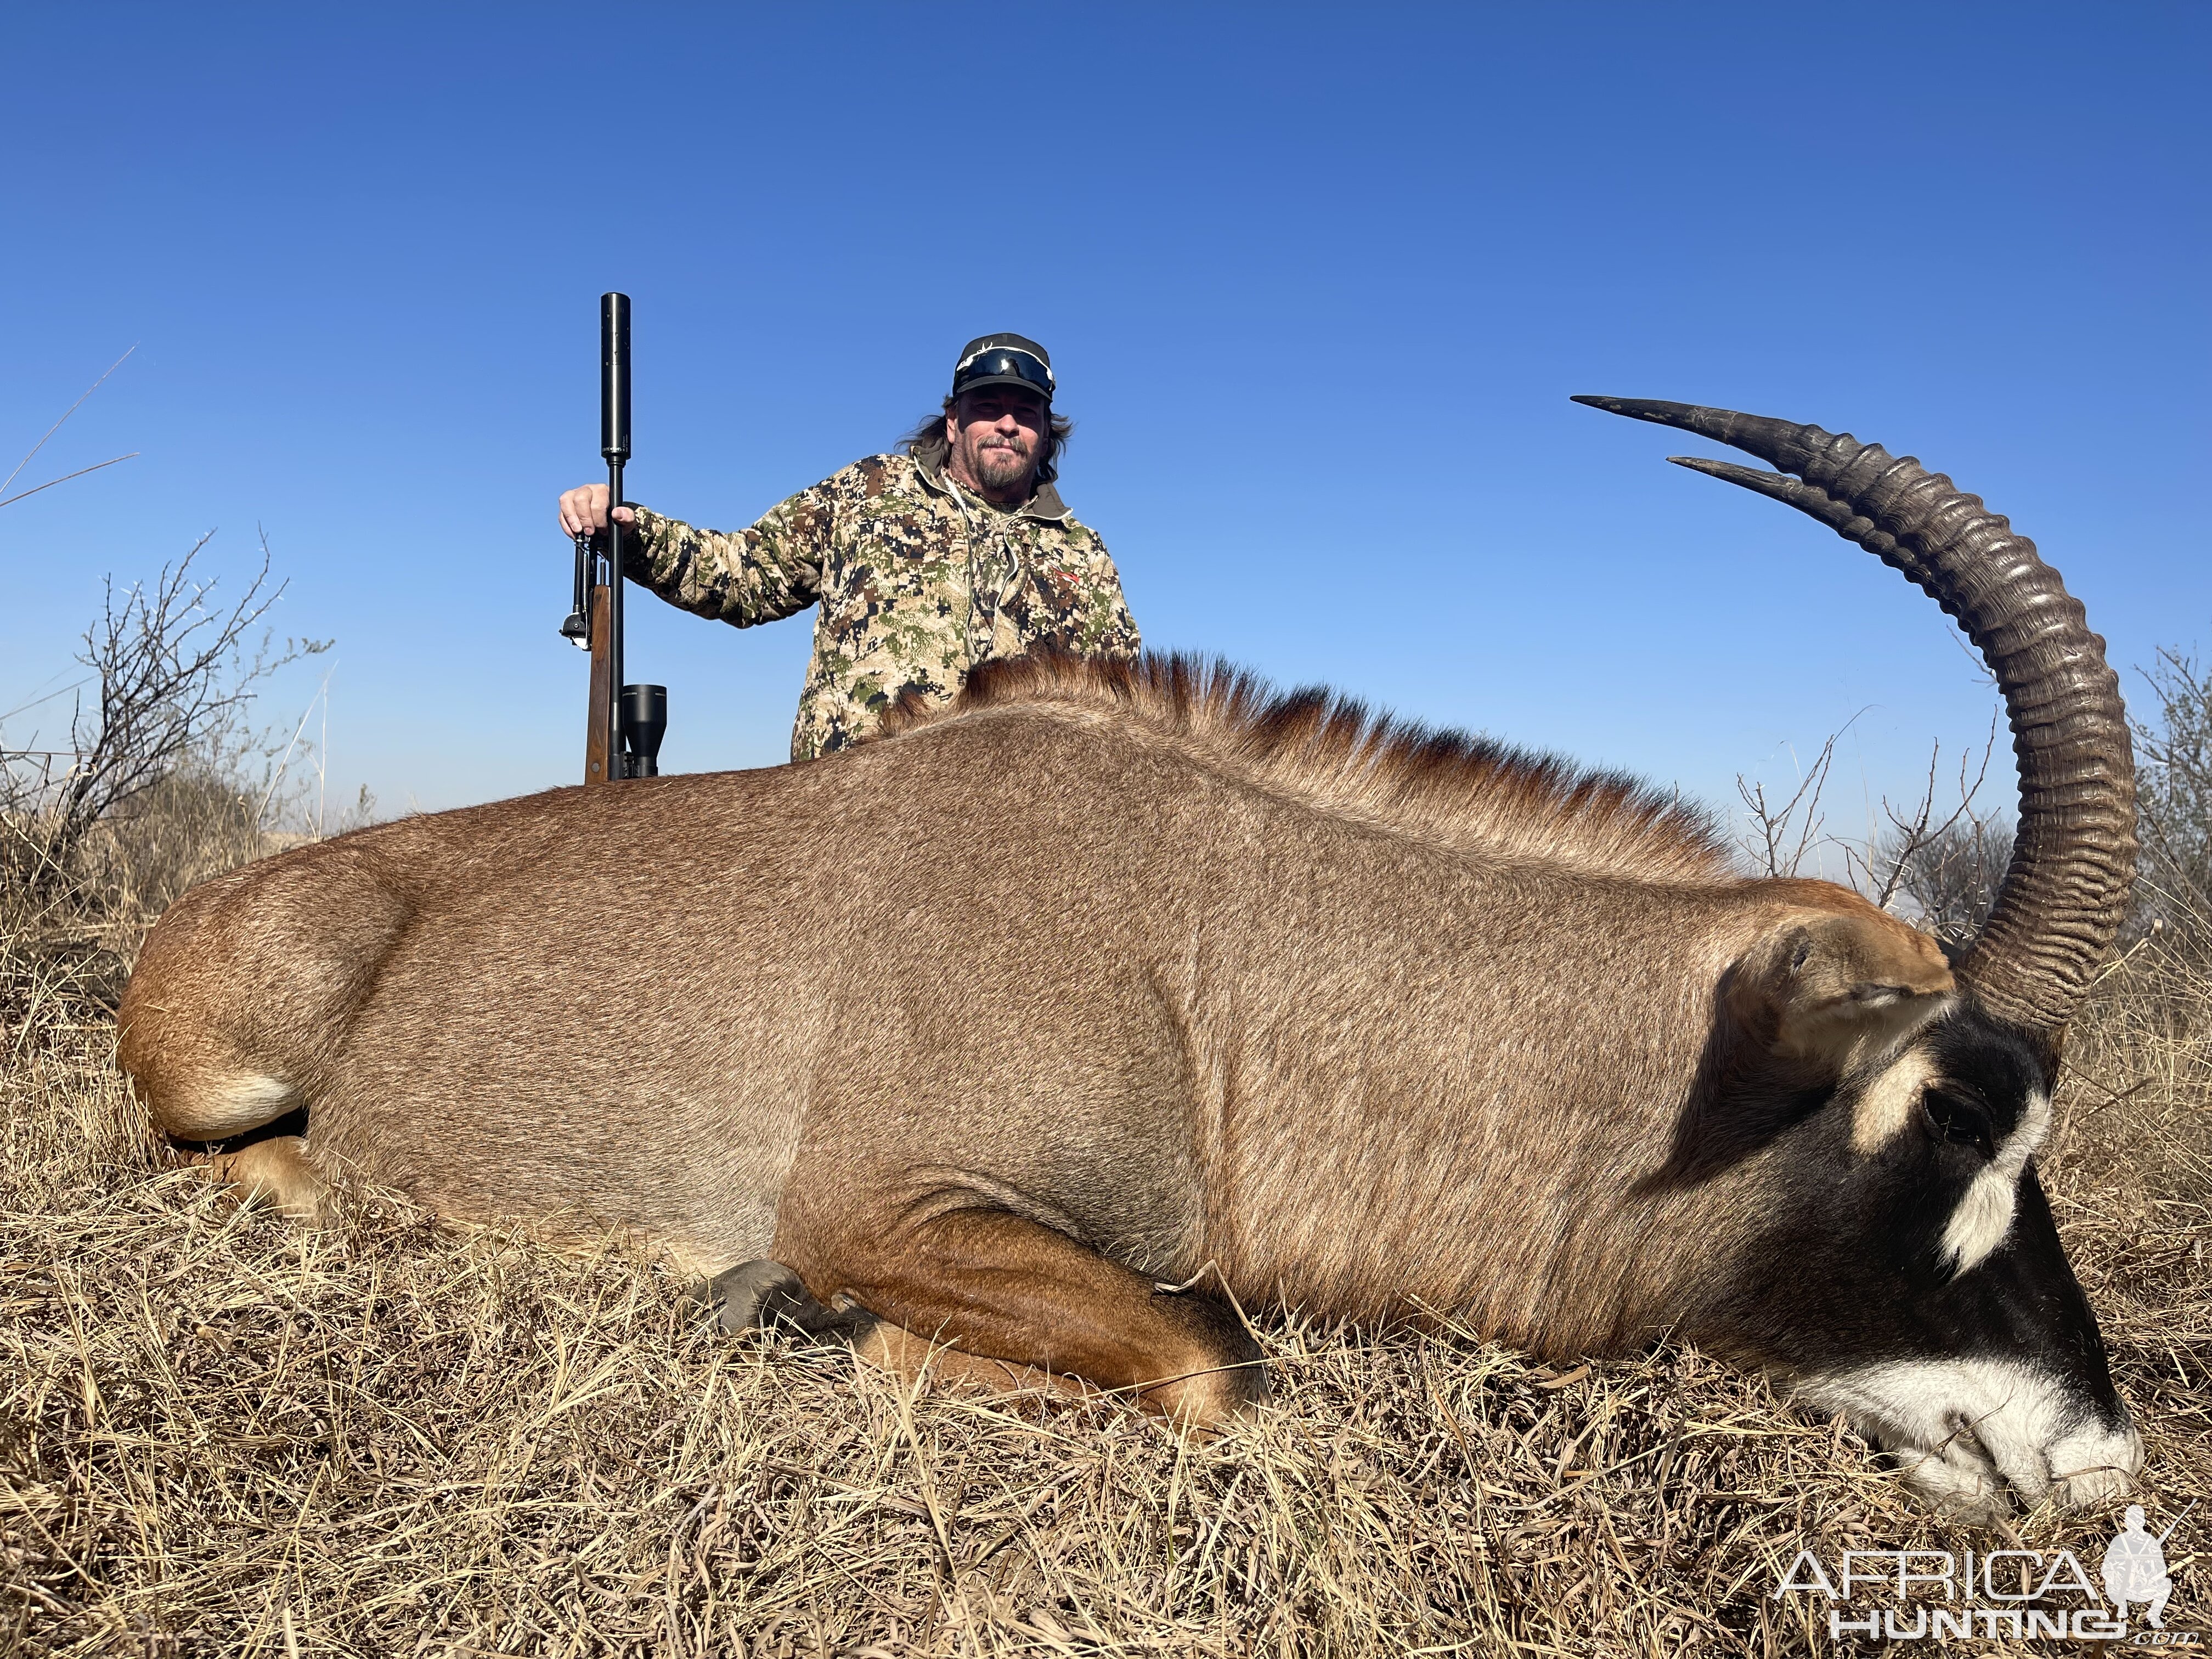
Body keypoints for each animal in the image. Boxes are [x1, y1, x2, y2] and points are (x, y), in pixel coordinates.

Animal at [116, 400, 2141, 1522]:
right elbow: (1217, 1368)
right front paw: (815, 1330)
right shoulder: (882, 1206)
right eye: (1956, 1111)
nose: (2101, 1467)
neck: (1212, 946)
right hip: (221, 1071)